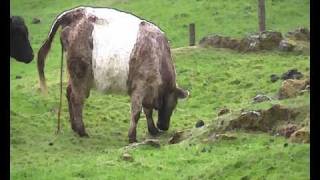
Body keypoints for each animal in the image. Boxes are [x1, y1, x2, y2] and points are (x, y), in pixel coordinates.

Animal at [37, 6, 189, 143]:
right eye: (173, 105)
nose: (164, 126)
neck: (158, 53)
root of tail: (74, 13)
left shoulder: (148, 90)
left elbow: (148, 110)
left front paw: (153, 130)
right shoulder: (140, 86)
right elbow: (136, 112)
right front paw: (132, 137)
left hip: (75, 74)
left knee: (69, 93)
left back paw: (74, 127)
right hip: (80, 72)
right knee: (76, 99)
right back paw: (82, 131)